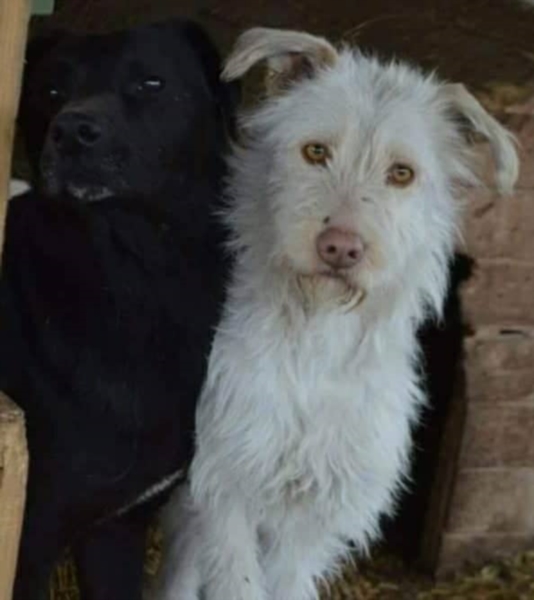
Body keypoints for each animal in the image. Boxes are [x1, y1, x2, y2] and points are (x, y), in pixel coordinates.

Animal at [152, 28, 519, 600]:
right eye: (315, 151)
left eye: (401, 173)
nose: (341, 248)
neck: (317, 338)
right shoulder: (223, 484)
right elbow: (235, 580)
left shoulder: (318, 514)